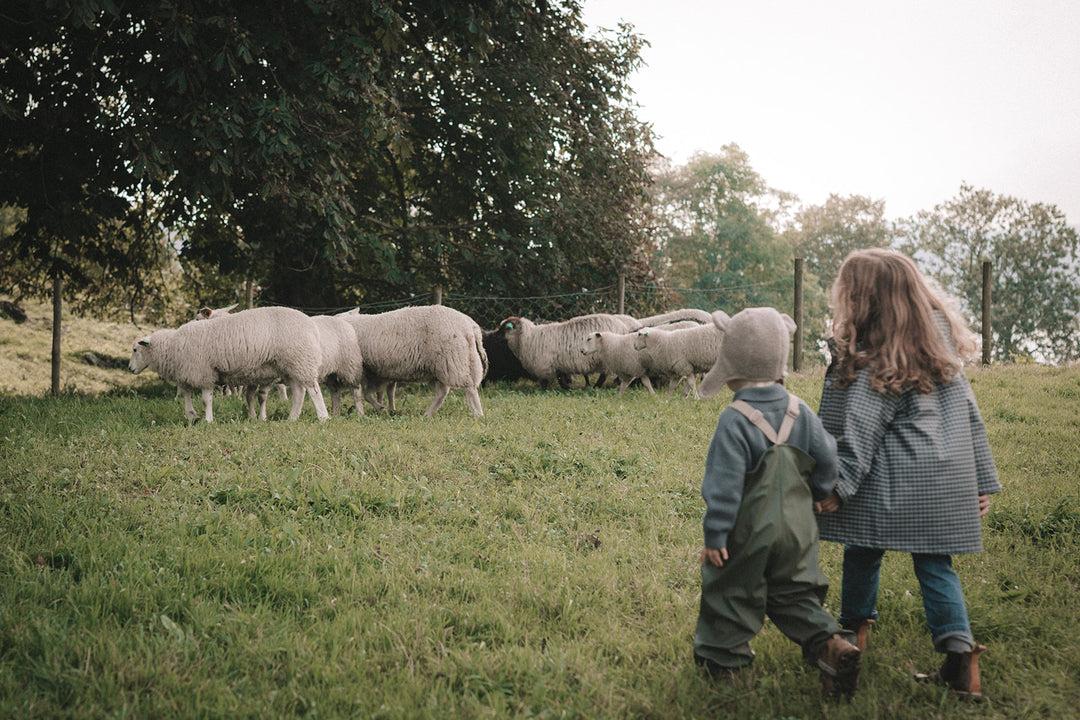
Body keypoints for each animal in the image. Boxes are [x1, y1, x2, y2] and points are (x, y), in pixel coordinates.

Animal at [129, 306, 328, 423]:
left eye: (135, 350)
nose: (130, 369)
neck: (173, 346)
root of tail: (312, 325)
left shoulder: (203, 372)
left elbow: (206, 399)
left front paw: (208, 419)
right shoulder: (188, 373)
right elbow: (186, 394)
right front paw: (192, 415)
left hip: (301, 359)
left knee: (313, 390)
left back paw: (323, 417)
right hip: (290, 365)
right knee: (299, 392)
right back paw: (292, 418)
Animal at [339, 304, 488, 416]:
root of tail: (469, 324)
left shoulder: (364, 370)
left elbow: (365, 394)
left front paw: (379, 409)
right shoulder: (380, 373)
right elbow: (377, 393)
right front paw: (385, 409)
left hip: (455, 360)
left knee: (469, 387)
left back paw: (477, 413)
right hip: (441, 366)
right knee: (442, 392)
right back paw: (428, 414)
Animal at [498, 310, 639, 388]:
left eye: (503, 328)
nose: (493, 334)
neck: (527, 338)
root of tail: (623, 327)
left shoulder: (545, 365)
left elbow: (546, 382)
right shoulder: (558, 364)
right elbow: (561, 379)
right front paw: (567, 388)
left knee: (604, 376)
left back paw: (596, 387)